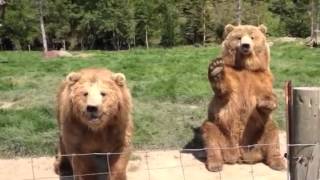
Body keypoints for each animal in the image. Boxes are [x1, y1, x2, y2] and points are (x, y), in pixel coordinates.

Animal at [201, 23, 286, 172]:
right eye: (239, 37)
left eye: (252, 37)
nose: (246, 45)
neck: (245, 67)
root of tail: (239, 155)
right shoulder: (232, 76)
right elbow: (223, 91)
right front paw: (216, 68)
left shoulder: (262, 76)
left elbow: (266, 95)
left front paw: (267, 102)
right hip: (221, 131)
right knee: (210, 134)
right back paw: (215, 163)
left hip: (258, 132)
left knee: (272, 133)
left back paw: (277, 162)